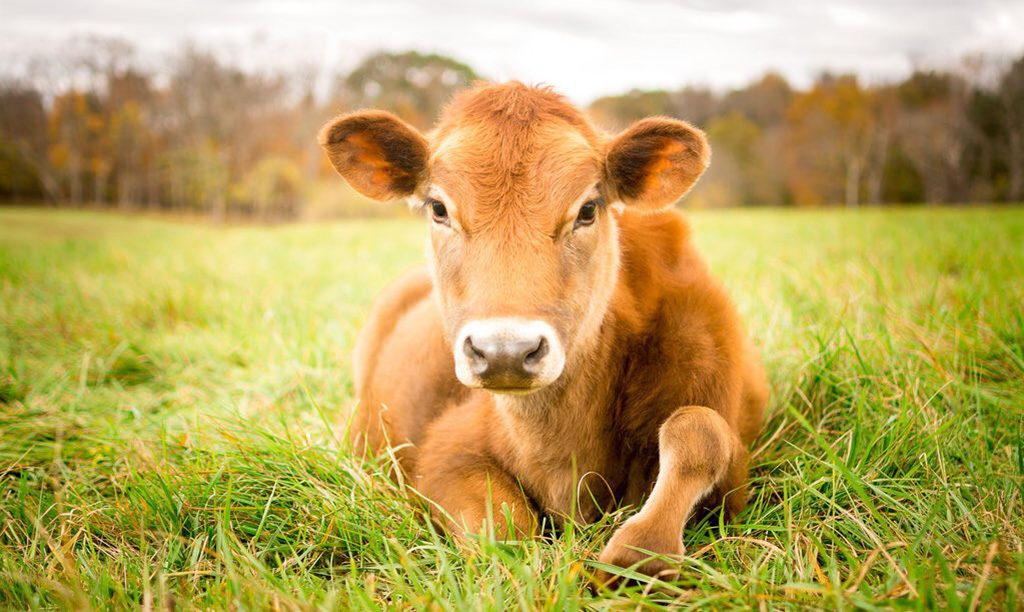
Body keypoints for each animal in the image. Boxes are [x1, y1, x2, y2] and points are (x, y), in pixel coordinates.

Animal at [319, 81, 770, 585]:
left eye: (588, 209)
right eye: (438, 208)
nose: (505, 351)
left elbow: (700, 429)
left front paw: (643, 548)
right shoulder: (446, 452)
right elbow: (504, 531)